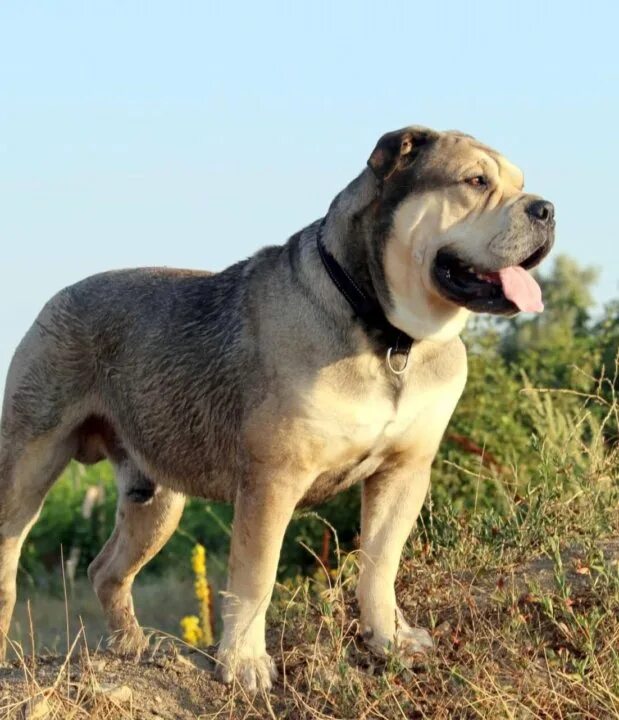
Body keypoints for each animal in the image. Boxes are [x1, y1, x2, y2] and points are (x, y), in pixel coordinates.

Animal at [0, 125, 556, 692]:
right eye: (476, 181)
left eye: (520, 184)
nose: (546, 208)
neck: (388, 333)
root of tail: (58, 297)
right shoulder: (274, 480)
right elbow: (255, 575)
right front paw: (244, 662)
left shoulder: (404, 471)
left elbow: (381, 563)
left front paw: (389, 640)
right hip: (29, 463)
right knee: (10, 561)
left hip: (154, 500)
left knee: (107, 569)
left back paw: (131, 646)